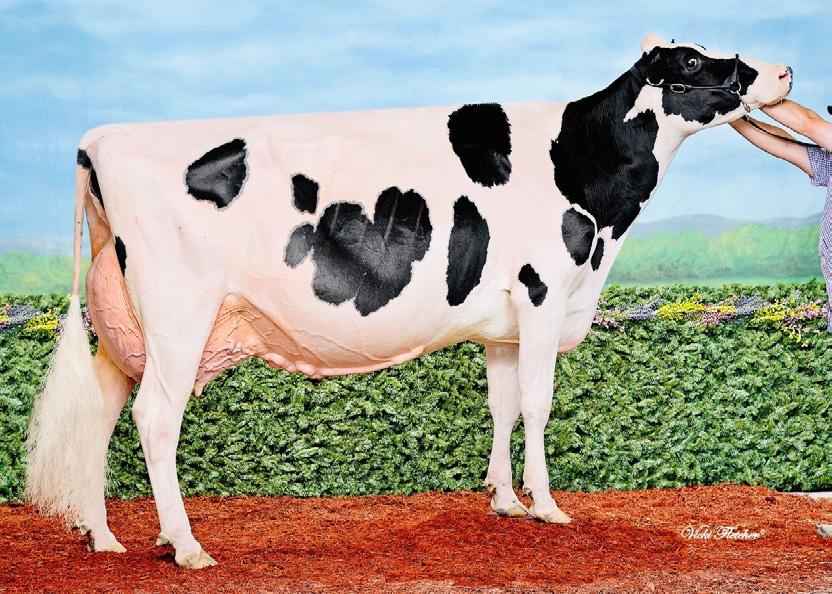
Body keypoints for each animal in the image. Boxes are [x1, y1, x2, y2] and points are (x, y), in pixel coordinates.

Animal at [25, 34, 792, 569]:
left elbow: (503, 405)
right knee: (155, 417)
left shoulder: (503, 324)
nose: (781, 72)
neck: (585, 174)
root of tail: (102, 138)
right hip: (178, 313)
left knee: (101, 411)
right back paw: (184, 546)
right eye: (693, 60)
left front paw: (504, 501)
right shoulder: (543, 293)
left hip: (122, 323)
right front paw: (547, 506)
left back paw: (104, 539)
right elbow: (539, 403)